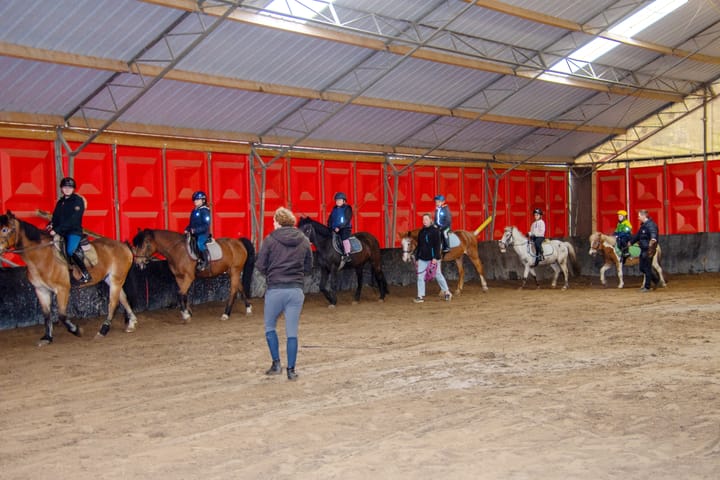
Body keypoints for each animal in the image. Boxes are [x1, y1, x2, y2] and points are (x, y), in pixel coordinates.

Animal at [0, 210, 138, 344]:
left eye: (5, 230)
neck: (41, 257)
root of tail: (123, 245)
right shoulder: (41, 290)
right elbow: (47, 315)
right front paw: (47, 337)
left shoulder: (62, 289)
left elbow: (61, 315)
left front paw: (76, 330)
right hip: (110, 279)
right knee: (123, 298)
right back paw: (131, 324)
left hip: (116, 279)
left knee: (113, 303)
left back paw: (103, 330)